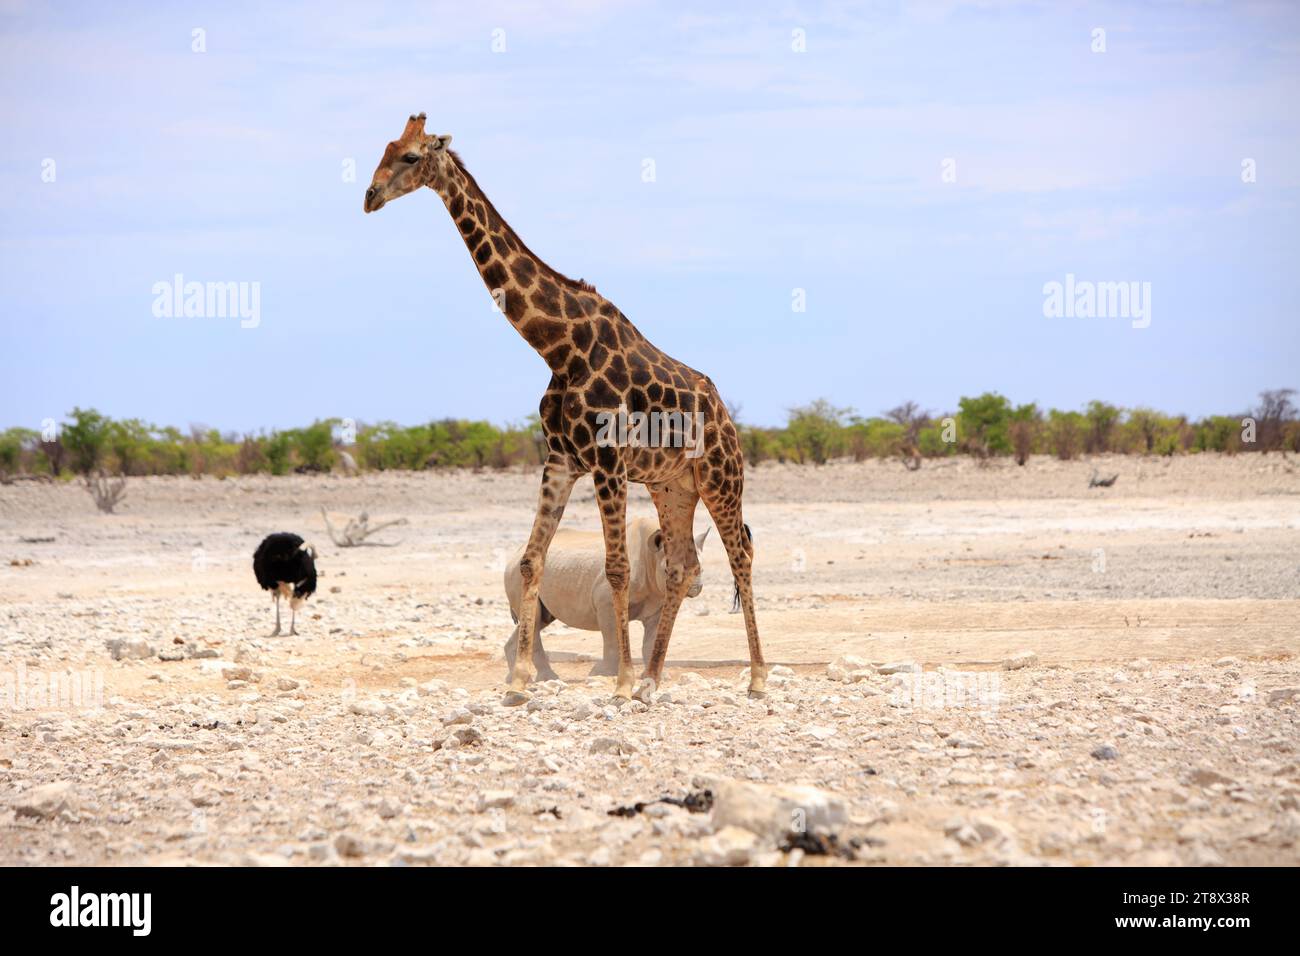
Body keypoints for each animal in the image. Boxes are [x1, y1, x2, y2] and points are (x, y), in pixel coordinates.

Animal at [361, 115, 764, 707]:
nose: (369, 196)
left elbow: (617, 568)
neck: (557, 345)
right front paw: (520, 682)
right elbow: (532, 559)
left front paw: (618, 684)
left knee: (741, 556)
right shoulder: (560, 460)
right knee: (681, 565)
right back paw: (653, 680)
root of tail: (728, 418)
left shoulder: (607, 462)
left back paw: (754, 678)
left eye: (411, 156)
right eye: (385, 148)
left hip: (720, 477)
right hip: (672, 486)